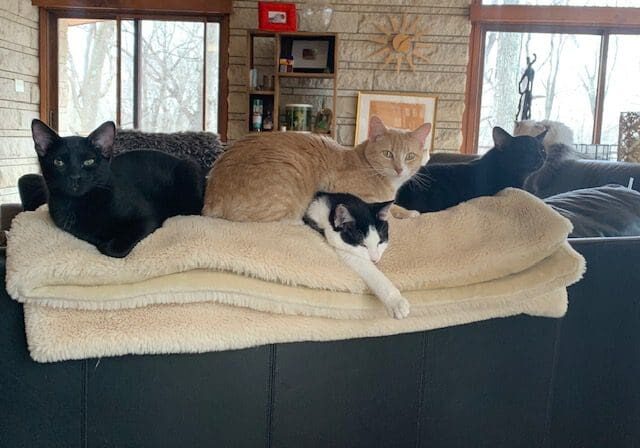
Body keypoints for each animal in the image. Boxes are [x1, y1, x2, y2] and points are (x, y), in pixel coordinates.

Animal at [31, 121, 204, 258]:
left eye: (89, 161)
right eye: (58, 162)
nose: (74, 177)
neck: (80, 204)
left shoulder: (147, 219)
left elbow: (114, 248)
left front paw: (107, 244)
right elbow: (91, 235)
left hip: (188, 170)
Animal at [202, 114, 430, 221]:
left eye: (410, 156)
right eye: (388, 154)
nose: (399, 169)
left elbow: (395, 206)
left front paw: (409, 212)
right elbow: (384, 210)